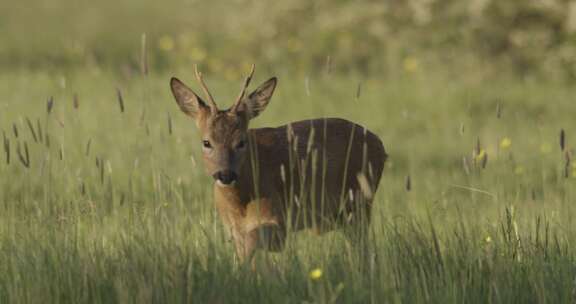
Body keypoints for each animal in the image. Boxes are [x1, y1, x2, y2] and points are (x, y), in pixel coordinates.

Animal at [171, 66, 388, 262]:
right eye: (206, 142)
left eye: (241, 141)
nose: (225, 174)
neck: (241, 203)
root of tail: (380, 144)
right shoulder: (234, 230)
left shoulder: (278, 219)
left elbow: (254, 244)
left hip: (359, 204)